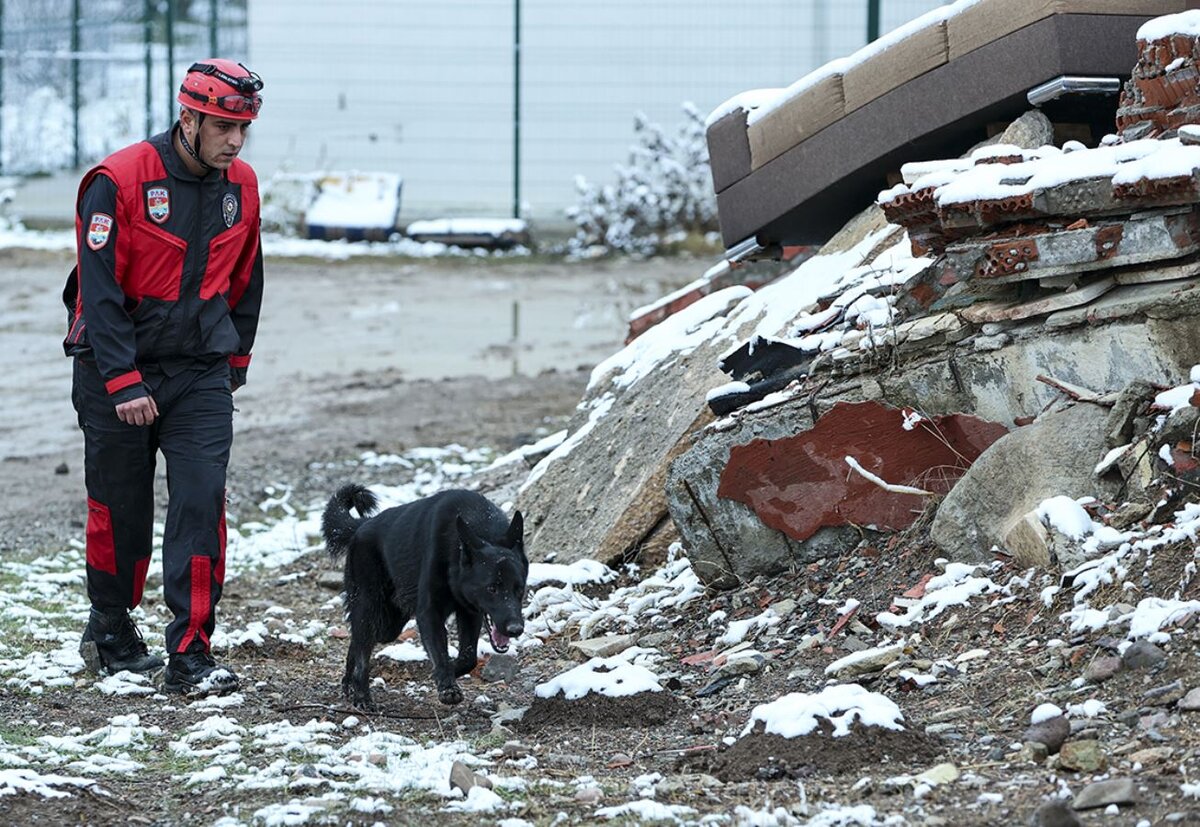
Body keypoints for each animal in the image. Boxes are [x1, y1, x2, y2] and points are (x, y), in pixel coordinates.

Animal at [321, 484, 528, 710]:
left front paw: (450, 672)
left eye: (519, 589)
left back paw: (349, 685)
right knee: (361, 650)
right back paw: (361, 695)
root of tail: (363, 525)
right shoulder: (430, 613)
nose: (516, 629)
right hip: (371, 609)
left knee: (357, 642)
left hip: (389, 623)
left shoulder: (470, 612)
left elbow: (468, 658)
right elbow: (440, 653)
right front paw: (447, 685)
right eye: (491, 588)